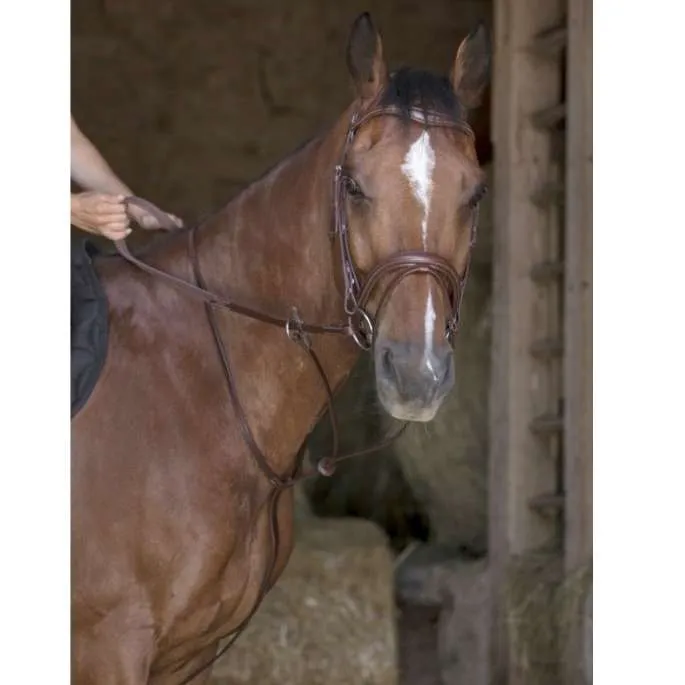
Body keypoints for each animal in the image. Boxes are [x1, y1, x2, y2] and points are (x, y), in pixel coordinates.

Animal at [71, 12, 490, 684]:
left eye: (474, 193)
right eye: (355, 187)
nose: (417, 373)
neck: (198, 388)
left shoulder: (186, 656)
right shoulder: (108, 647)